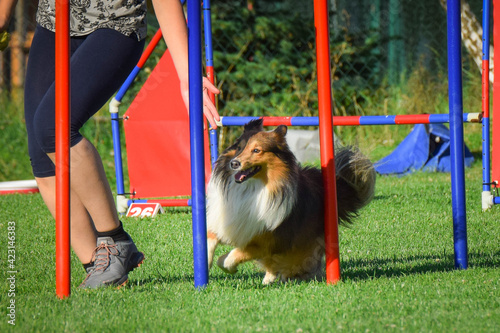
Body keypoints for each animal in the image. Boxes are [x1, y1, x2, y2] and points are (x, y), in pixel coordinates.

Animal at [206, 118, 376, 282]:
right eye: (239, 147)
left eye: (256, 150)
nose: (234, 163)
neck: (251, 188)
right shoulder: (225, 221)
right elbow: (210, 238)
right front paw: (205, 263)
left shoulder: (268, 240)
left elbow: (234, 256)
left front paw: (227, 264)